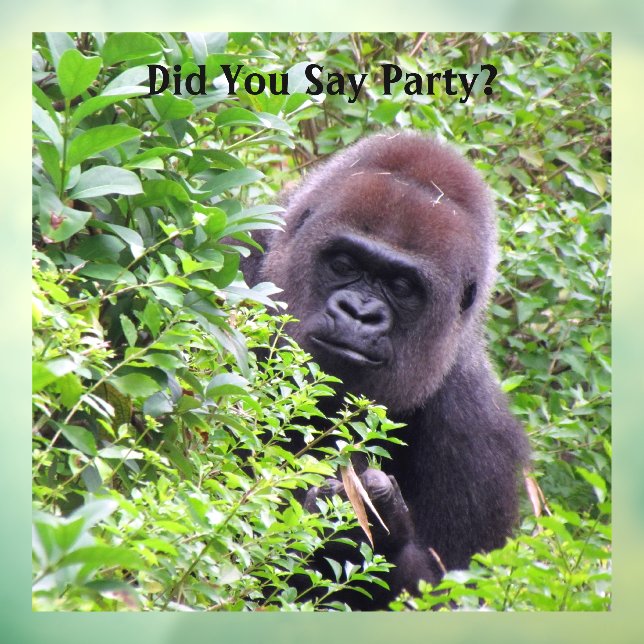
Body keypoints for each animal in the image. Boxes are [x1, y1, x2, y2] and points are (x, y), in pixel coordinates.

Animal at [240, 131, 530, 609]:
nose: (359, 314)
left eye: (401, 287)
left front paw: (376, 526)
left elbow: (451, 593)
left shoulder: (480, 438)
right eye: (343, 264)